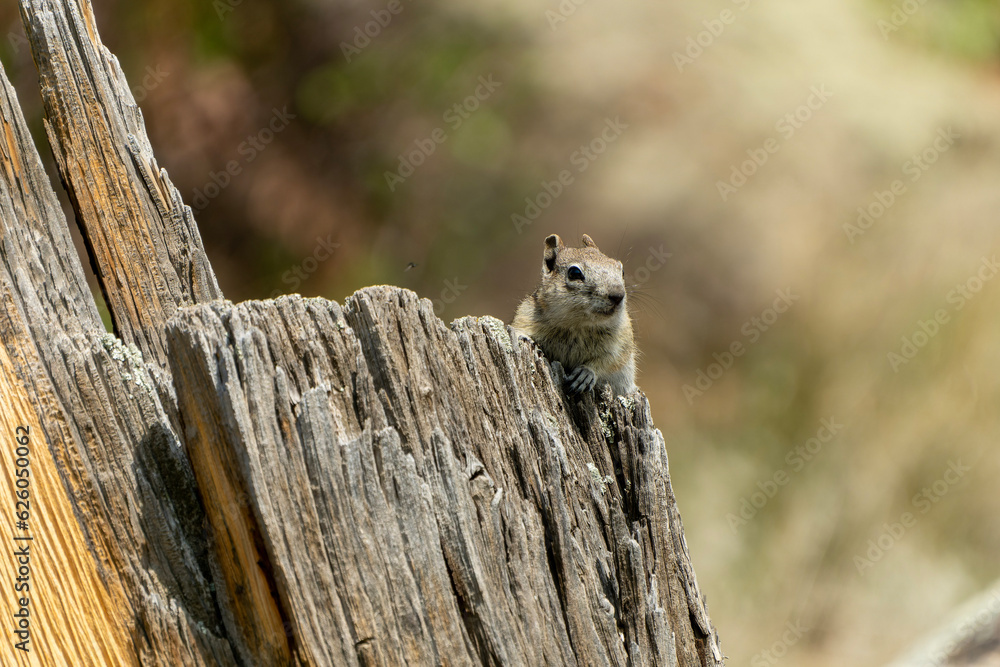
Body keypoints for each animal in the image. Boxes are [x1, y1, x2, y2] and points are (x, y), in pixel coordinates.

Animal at [513, 233, 637, 397]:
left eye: (621, 271)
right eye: (574, 273)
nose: (618, 295)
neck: (578, 325)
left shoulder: (622, 340)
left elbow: (610, 361)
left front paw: (586, 373)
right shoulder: (525, 317)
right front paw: (521, 336)